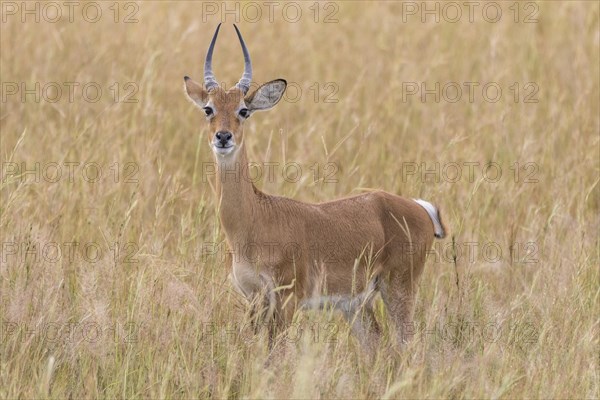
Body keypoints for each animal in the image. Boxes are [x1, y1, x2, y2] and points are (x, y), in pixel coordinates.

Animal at [183, 24, 446, 350]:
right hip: (354, 304)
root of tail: (421, 208)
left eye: (243, 110)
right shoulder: (254, 299)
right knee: (376, 342)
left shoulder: (286, 299)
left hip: (399, 288)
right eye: (208, 108)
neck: (255, 219)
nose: (223, 136)